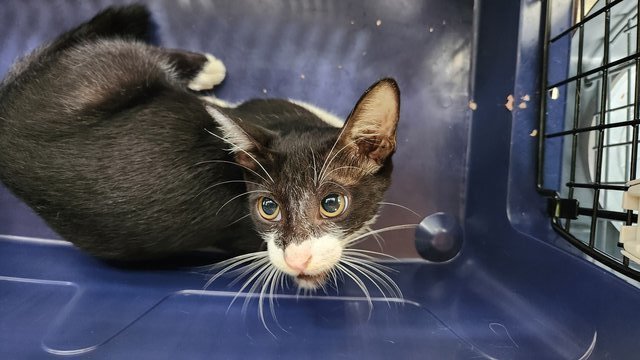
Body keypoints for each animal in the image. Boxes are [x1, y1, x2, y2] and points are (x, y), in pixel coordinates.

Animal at [0, 4, 400, 290]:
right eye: (268, 208)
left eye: (332, 203)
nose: (298, 261)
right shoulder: (263, 107)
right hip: (105, 72)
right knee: (131, 53)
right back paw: (204, 66)